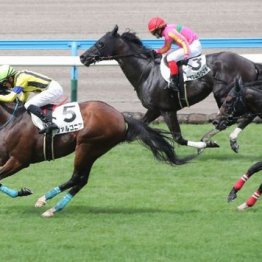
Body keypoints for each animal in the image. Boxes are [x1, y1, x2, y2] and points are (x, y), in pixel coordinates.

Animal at [0, 98, 189, 217]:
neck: (12, 121)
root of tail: (120, 116)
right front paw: (22, 191)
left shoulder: (19, 160)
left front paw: (23, 192)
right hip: (94, 150)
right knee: (82, 179)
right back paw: (52, 207)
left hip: (87, 145)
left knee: (77, 177)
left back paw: (47, 203)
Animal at [80, 25, 262, 151]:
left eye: (100, 43)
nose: (82, 57)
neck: (147, 72)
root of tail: (251, 63)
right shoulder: (154, 109)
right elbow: (137, 128)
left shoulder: (167, 109)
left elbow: (178, 137)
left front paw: (205, 145)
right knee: (238, 117)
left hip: (225, 95)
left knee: (239, 117)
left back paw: (222, 139)